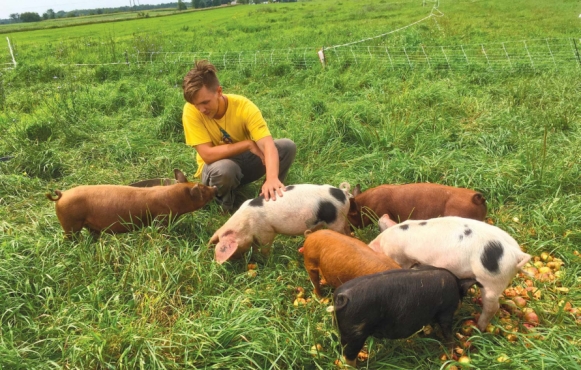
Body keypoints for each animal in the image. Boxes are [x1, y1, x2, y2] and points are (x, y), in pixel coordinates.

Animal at [46, 168, 215, 237]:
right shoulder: (161, 219)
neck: (173, 197)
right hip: (70, 224)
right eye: (202, 189)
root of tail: (62, 194)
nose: (213, 187)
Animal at [211, 184, 352, 264]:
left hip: (336, 221)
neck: (245, 224)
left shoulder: (266, 231)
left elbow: (265, 246)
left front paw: (265, 259)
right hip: (341, 219)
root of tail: (344, 194)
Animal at [330, 266, 476, 368]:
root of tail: (341, 297)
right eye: (462, 297)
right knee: (348, 356)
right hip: (356, 333)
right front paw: (452, 352)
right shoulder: (446, 312)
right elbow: (448, 333)